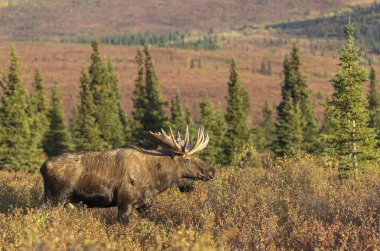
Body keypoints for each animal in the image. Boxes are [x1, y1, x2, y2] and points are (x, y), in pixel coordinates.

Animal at [40, 127, 217, 224]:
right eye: (187, 158)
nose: (211, 171)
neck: (155, 180)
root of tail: (43, 167)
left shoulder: (144, 205)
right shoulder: (125, 202)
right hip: (54, 199)